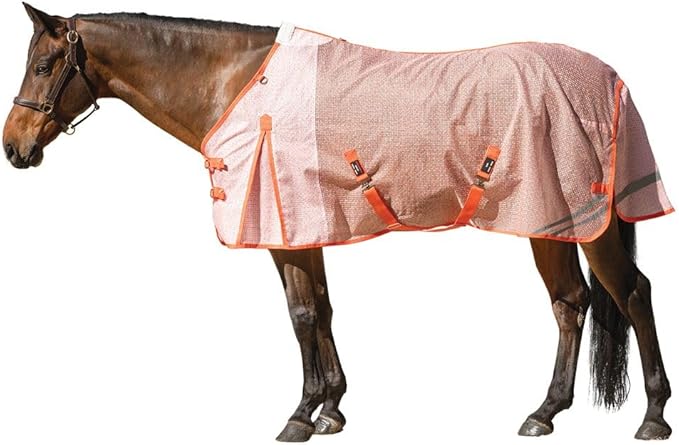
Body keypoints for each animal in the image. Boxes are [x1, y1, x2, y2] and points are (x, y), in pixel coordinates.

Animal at [2, 4, 672, 441]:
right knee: (571, 302)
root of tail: (610, 79)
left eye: (42, 67)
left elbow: (301, 315)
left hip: (580, 220)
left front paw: (299, 416)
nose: (14, 147)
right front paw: (332, 410)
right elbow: (320, 309)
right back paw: (543, 413)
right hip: (549, 221)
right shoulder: (304, 230)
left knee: (631, 294)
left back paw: (652, 417)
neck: (241, 86)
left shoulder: (284, 229)